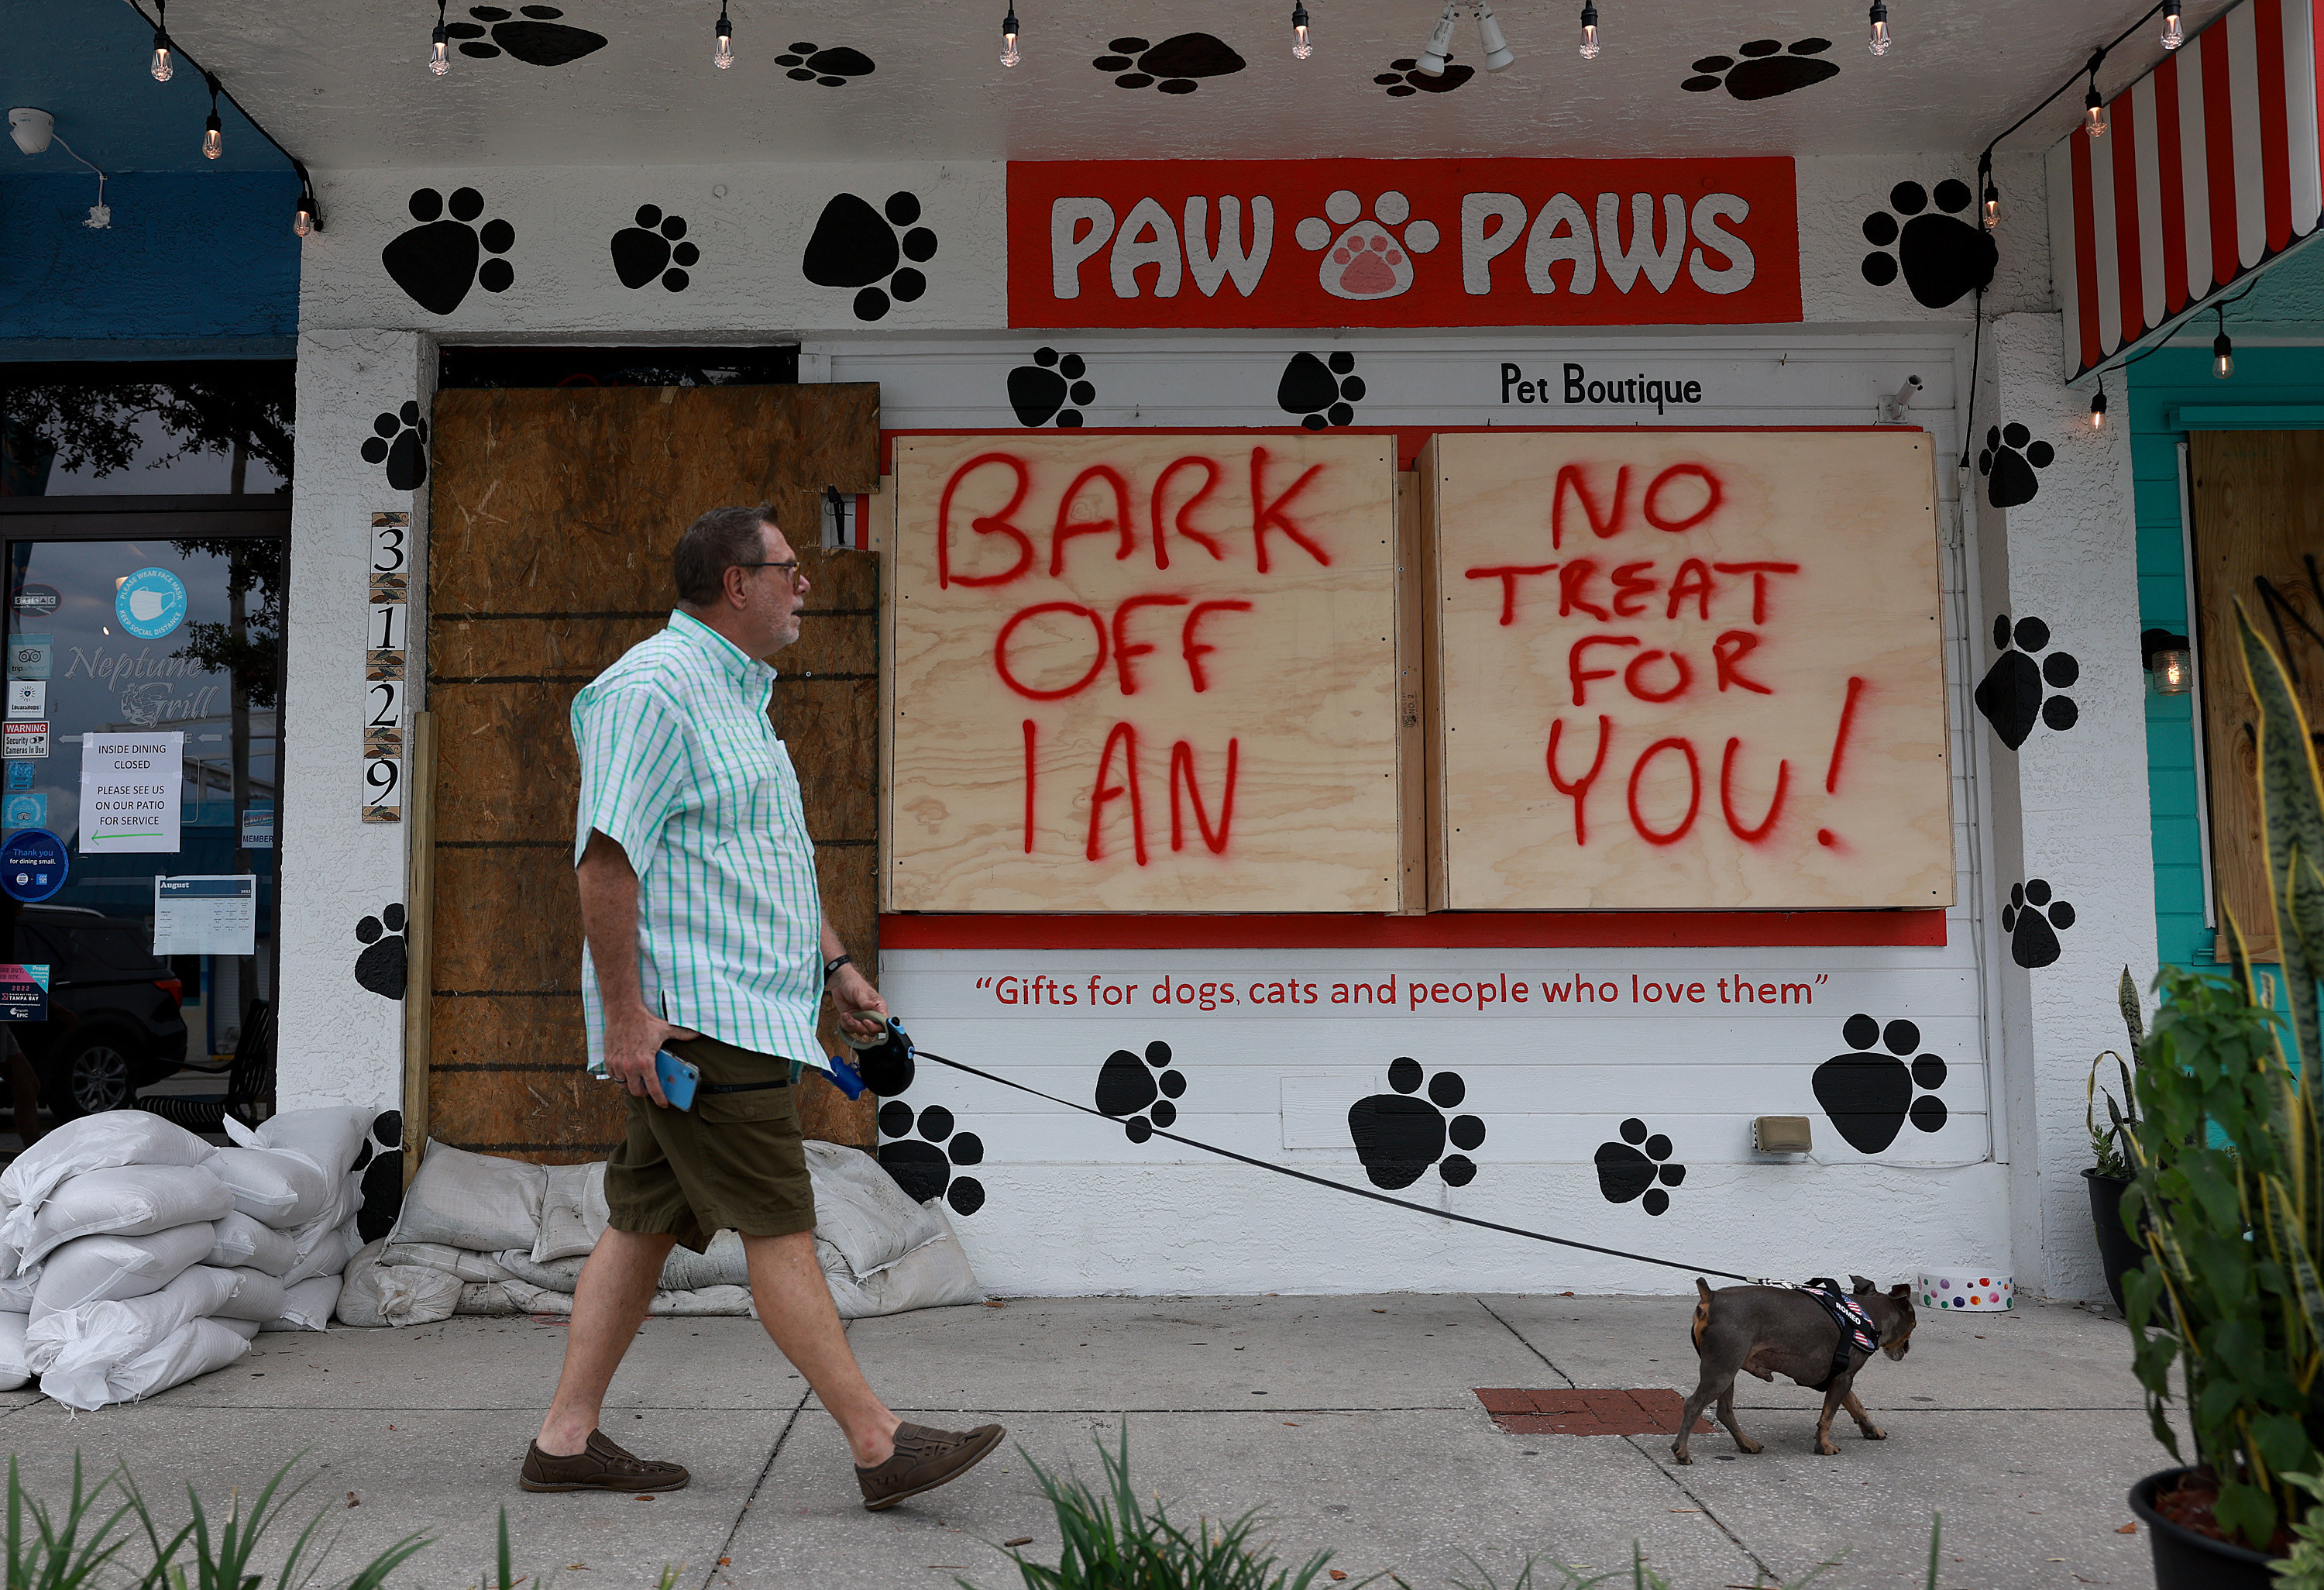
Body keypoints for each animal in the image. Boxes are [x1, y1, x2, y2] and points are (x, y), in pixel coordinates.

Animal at [1683, 1283, 1915, 1469]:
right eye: (1913, 1325)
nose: (1907, 1349)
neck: (1867, 1317)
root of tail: (1711, 1298)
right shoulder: (1844, 1378)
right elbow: (1828, 1417)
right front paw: (1824, 1445)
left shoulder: (1839, 1378)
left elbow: (1856, 1406)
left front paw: (1871, 1429)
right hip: (1722, 1371)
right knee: (1693, 1405)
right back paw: (1682, 1452)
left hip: (1726, 1371)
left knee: (1725, 1412)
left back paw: (1746, 1444)